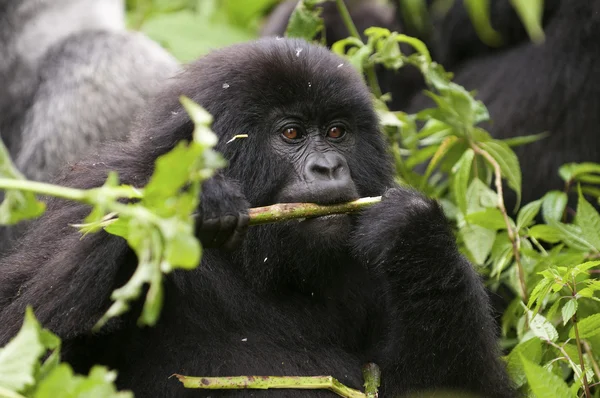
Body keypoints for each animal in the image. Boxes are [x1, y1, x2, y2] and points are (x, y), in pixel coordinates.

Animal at [0, 38, 516, 398]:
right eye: (291, 134)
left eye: (337, 132)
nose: (329, 167)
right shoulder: (92, 193)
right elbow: (20, 341)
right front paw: (184, 201)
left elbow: (449, 386)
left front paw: (415, 230)